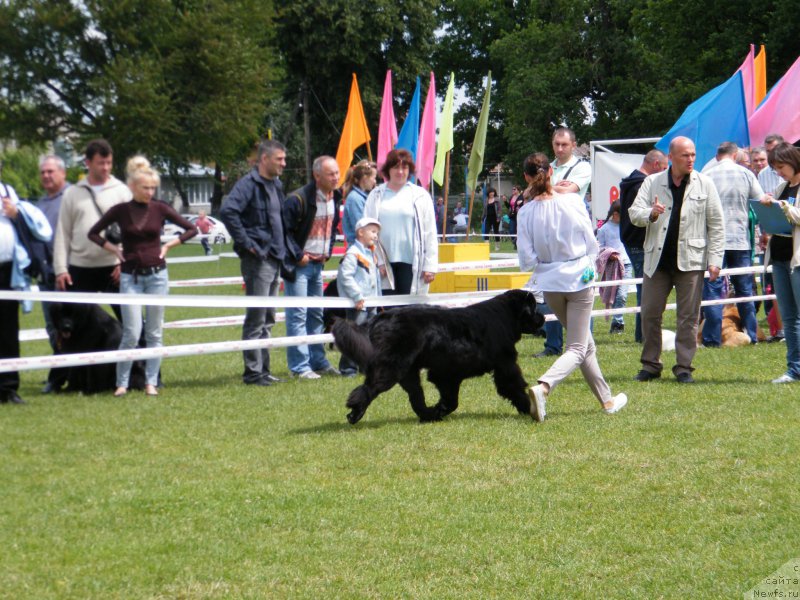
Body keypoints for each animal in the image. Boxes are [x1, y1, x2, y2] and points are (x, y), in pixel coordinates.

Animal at [332, 290, 544, 422]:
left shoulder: (447, 374)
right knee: (370, 387)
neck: (505, 317)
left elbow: (451, 400)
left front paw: (439, 410)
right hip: (392, 366)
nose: (542, 317)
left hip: (408, 370)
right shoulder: (504, 364)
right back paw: (355, 413)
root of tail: (380, 317)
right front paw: (529, 408)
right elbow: (514, 386)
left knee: (416, 396)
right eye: (533, 308)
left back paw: (428, 415)